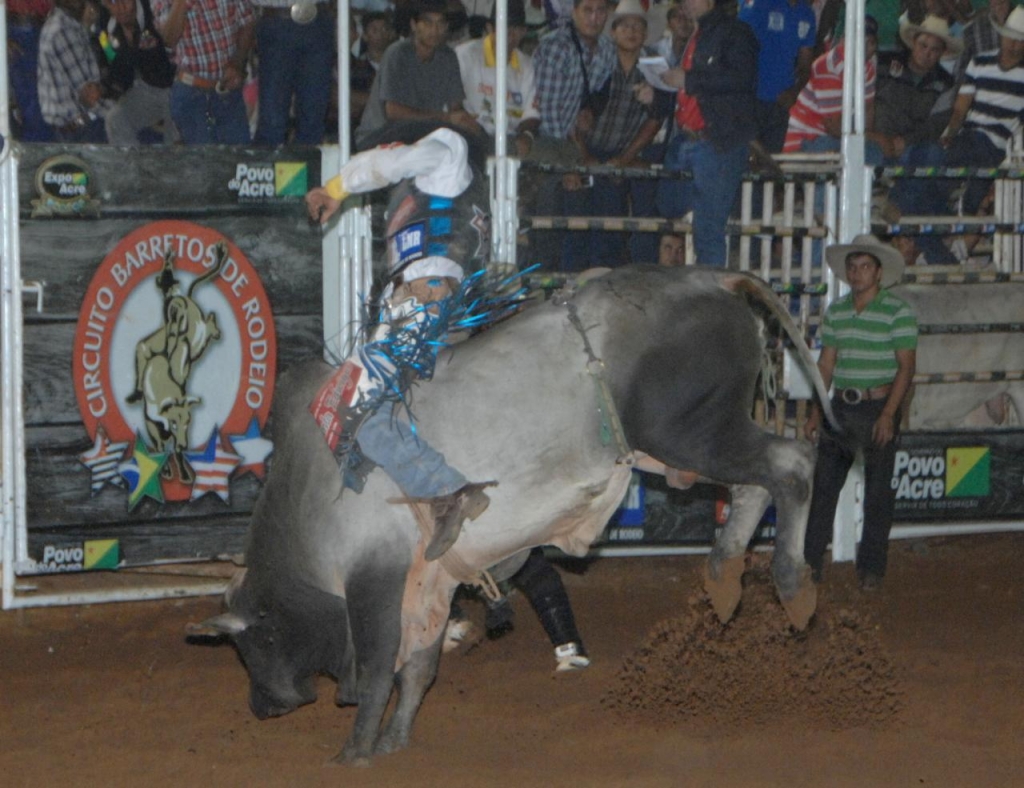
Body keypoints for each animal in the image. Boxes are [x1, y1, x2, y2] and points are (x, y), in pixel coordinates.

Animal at [188, 264, 835, 761]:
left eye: (256, 643)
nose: (261, 707)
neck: (308, 500)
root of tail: (715, 277)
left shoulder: (376, 575)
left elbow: (375, 667)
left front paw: (354, 753)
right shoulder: (430, 580)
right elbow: (417, 667)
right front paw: (395, 742)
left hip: (689, 431)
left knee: (793, 463)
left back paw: (792, 585)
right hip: (690, 442)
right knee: (753, 486)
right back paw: (725, 579)